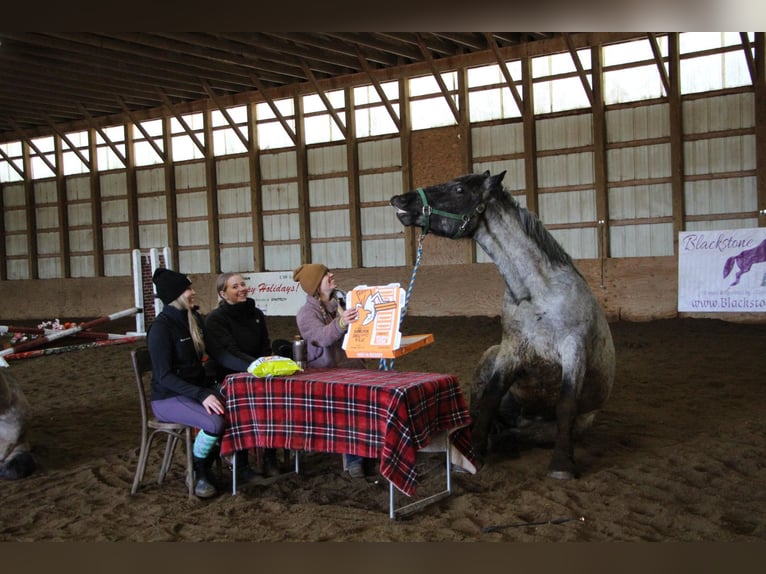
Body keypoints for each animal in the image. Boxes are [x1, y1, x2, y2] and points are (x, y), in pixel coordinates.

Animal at [390, 171, 616, 482]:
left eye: (459, 189)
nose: (399, 200)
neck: (536, 294)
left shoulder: (574, 351)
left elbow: (566, 403)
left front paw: (561, 464)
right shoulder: (510, 352)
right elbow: (490, 397)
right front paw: (473, 452)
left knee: (518, 432)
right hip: (489, 355)